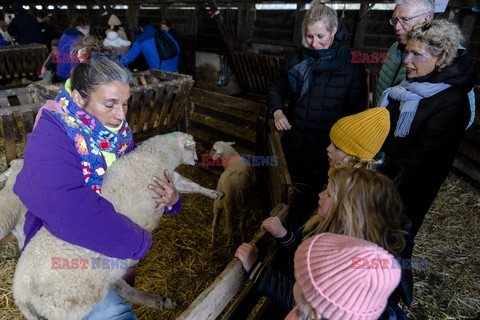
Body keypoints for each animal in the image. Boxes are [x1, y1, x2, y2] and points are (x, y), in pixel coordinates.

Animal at [12, 131, 223, 320]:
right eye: (192, 148)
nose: (196, 160)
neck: (158, 155)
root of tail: (21, 296)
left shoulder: (169, 180)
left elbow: (192, 186)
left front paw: (215, 194)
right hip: (75, 300)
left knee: (125, 290)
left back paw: (162, 301)